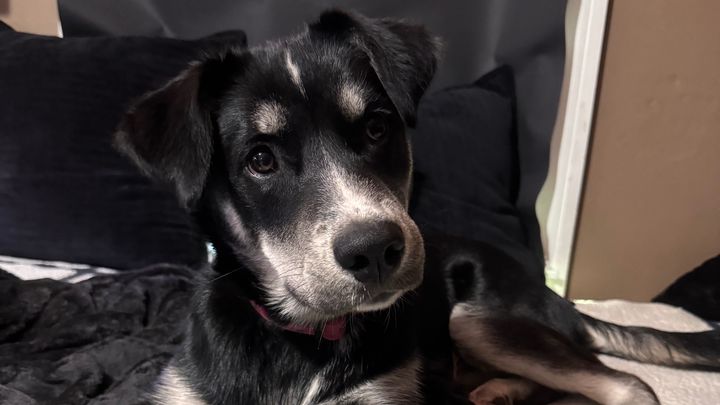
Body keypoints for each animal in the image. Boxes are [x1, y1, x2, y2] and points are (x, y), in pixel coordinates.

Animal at [115, 9, 720, 405]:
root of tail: (554, 297)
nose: (375, 250)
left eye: (376, 128)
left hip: (477, 319)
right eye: (260, 160)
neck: (301, 338)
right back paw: (492, 391)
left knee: (627, 384)